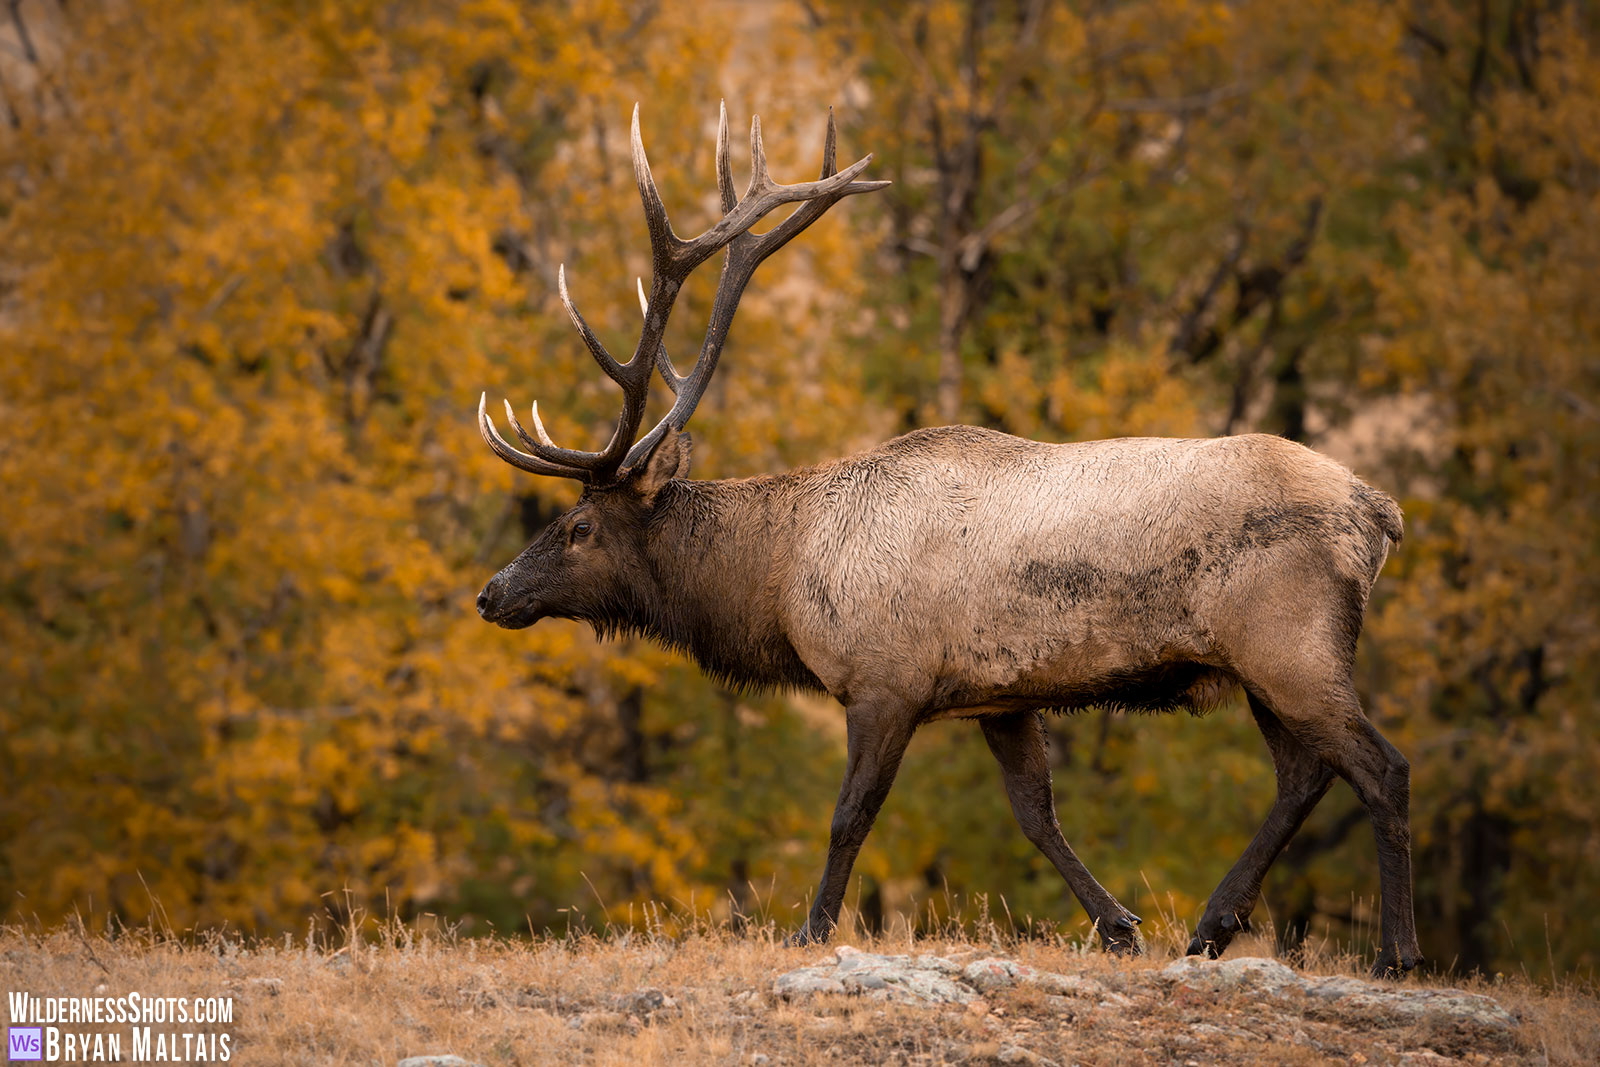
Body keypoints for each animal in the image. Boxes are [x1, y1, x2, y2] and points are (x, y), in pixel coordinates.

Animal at [474, 103, 1422, 978]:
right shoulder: (998, 694)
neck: (780, 585)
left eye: (578, 526)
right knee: (1304, 774)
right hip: (1262, 662)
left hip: (1288, 643)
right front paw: (1119, 924)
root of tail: (1379, 512)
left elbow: (850, 813)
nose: (492, 593)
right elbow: (1036, 813)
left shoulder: (884, 680)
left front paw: (810, 929)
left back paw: (1395, 951)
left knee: (1379, 766)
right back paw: (1212, 926)